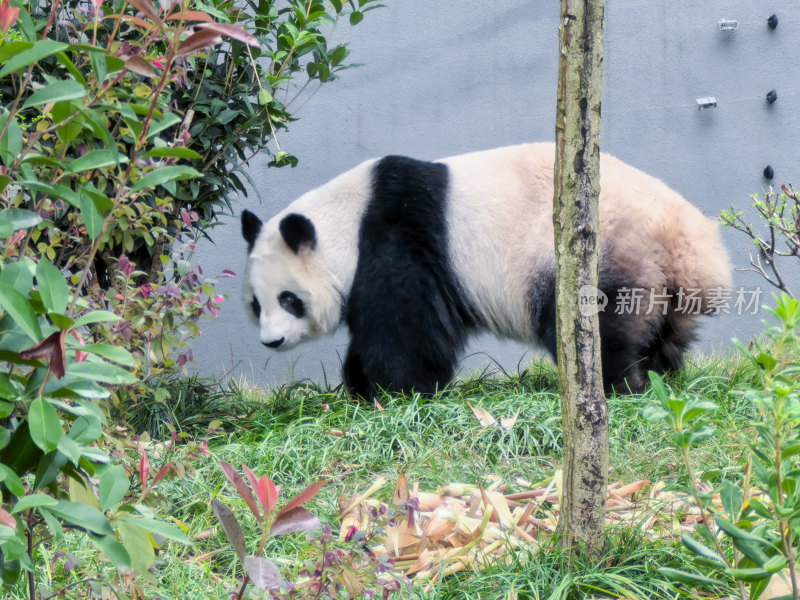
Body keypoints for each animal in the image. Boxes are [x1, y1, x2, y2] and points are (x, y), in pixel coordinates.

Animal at [242, 143, 732, 396]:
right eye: (255, 304)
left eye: (289, 299)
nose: (271, 341)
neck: (347, 221)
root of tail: (685, 235)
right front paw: (362, 384)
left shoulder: (397, 239)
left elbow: (406, 330)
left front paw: (393, 390)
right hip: (659, 280)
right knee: (665, 331)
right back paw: (660, 374)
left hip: (595, 255)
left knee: (596, 329)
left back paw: (619, 384)